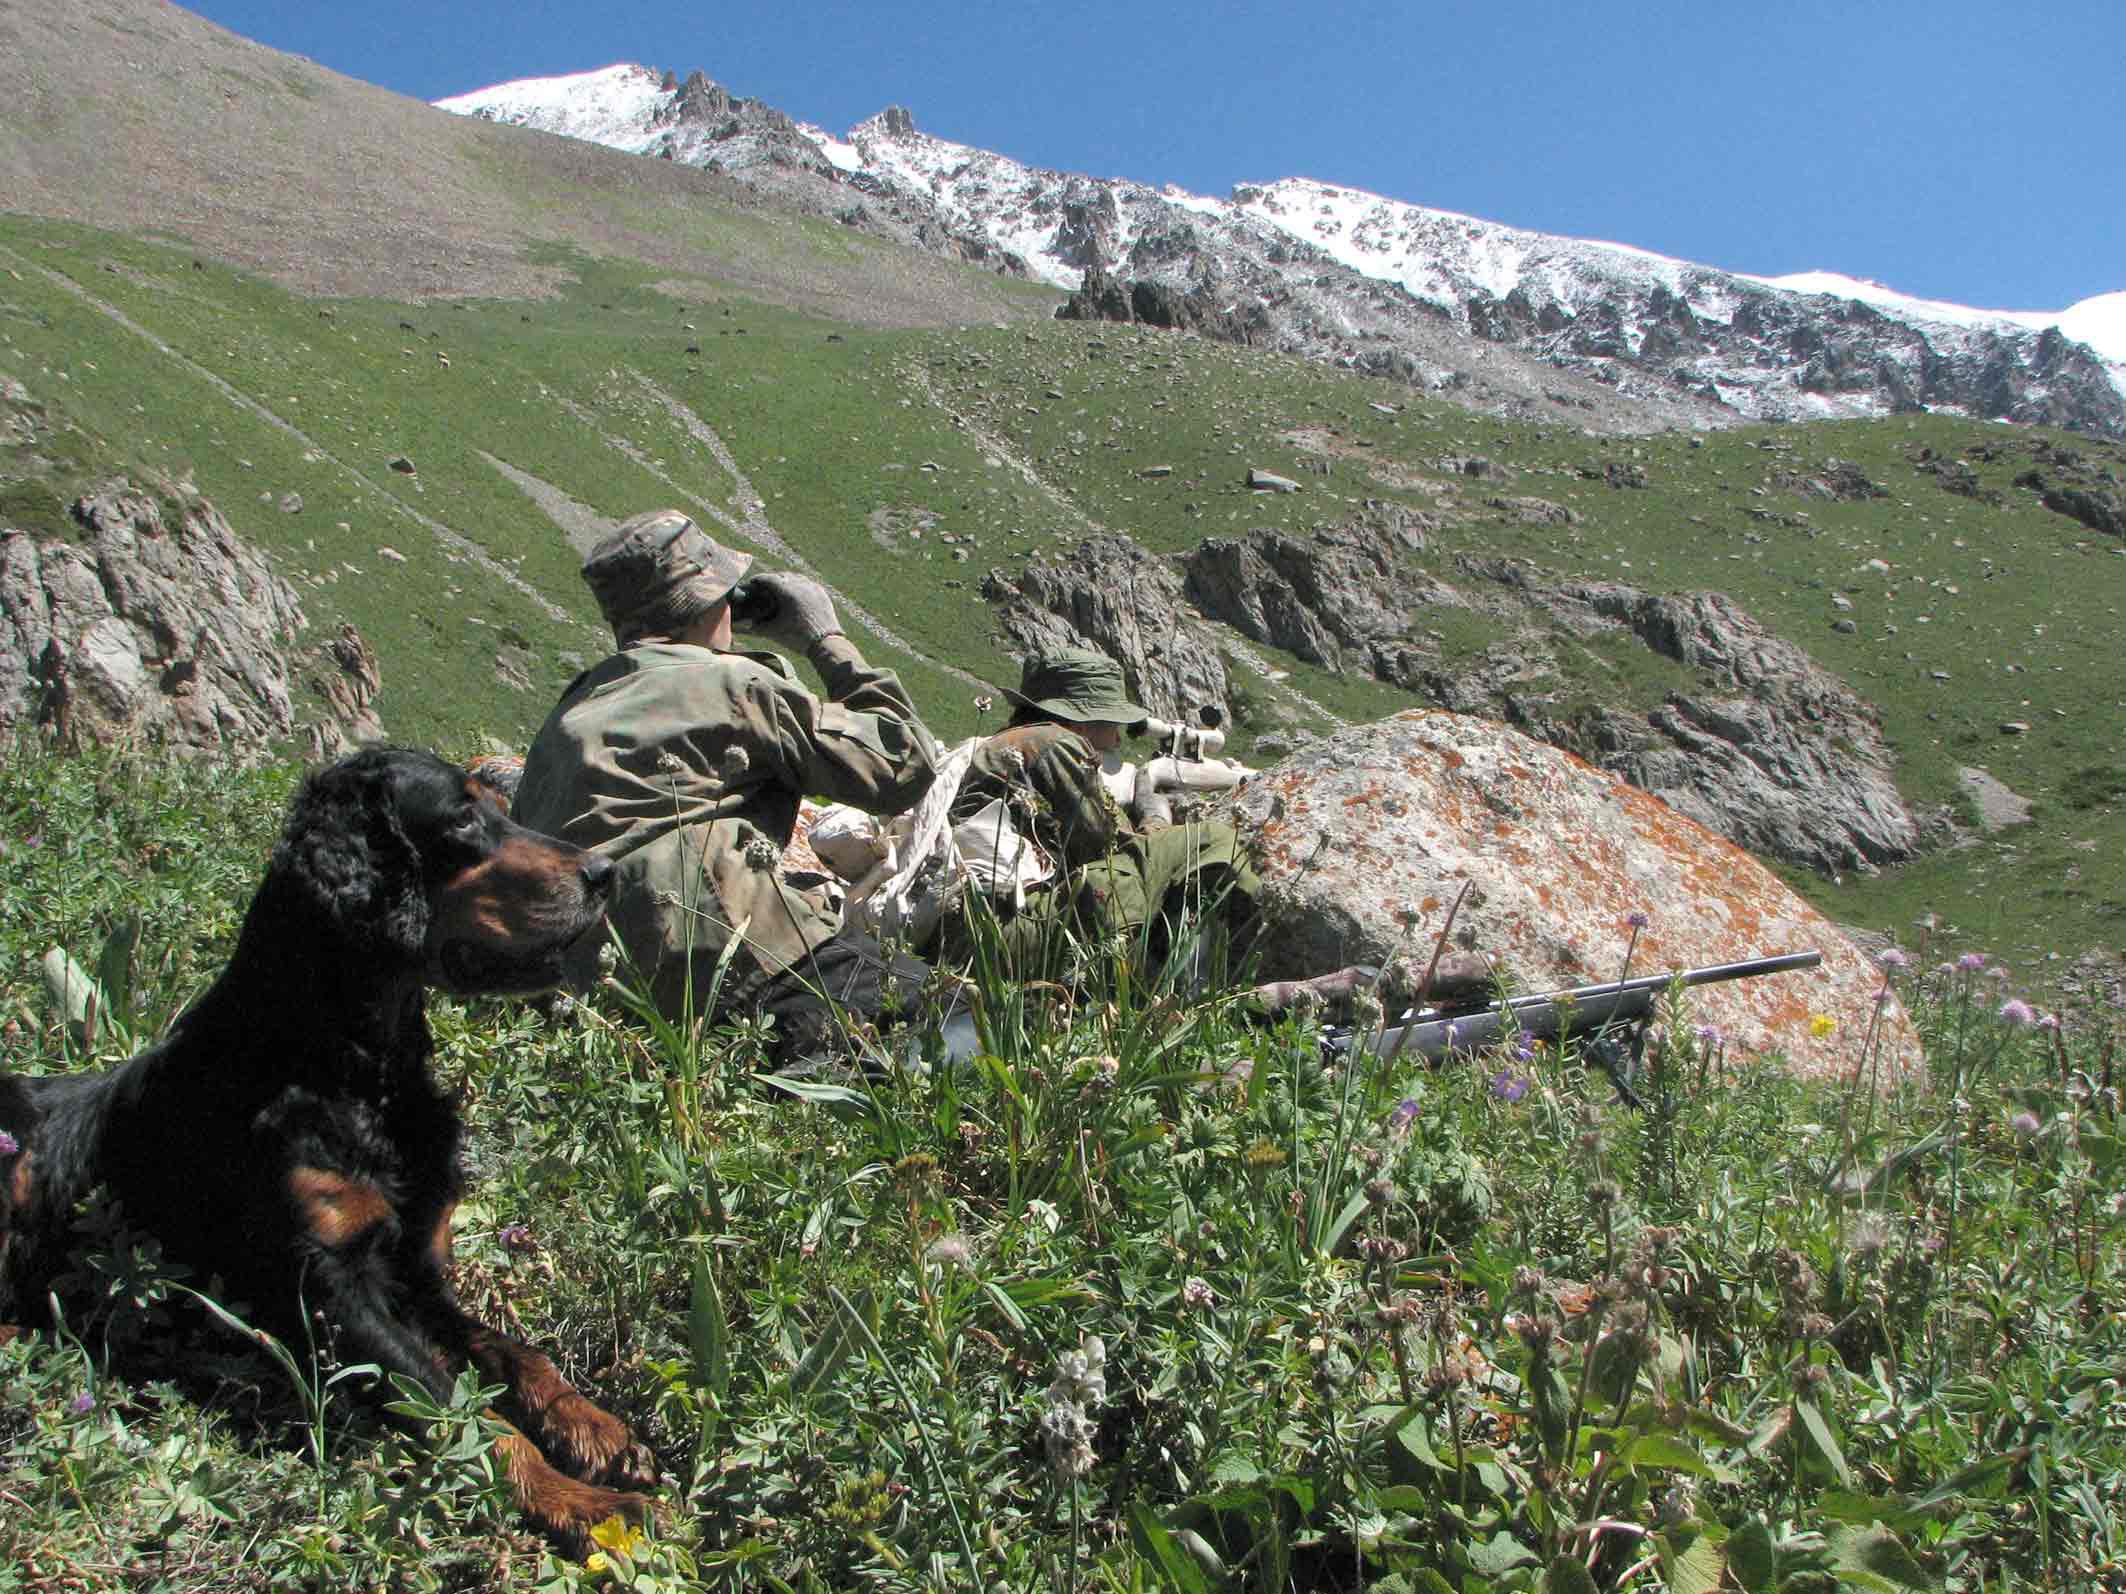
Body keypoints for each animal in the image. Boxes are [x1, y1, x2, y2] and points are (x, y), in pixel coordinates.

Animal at [0, 748, 650, 1547]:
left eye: (501, 806)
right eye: (463, 818)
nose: (605, 870)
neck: (353, 1068)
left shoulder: (415, 1270)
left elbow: (518, 1355)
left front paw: (595, 1428)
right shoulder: (332, 1291)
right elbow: (466, 1414)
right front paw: (581, 1503)